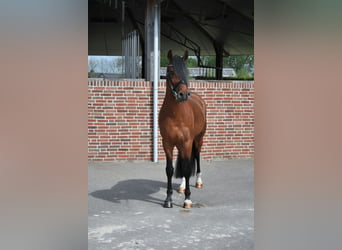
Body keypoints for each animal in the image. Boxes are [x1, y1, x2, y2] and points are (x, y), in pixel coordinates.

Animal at [158, 49, 206, 208]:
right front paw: (168, 199)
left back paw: (198, 182)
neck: (175, 114)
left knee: (196, 157)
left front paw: (187, 199)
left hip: (198, 140)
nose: (183, 95)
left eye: (186, 71)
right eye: (171, 71)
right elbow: (170, 170)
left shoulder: (187, 142)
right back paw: (182, 186)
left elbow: (186, 168)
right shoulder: (167, 143)